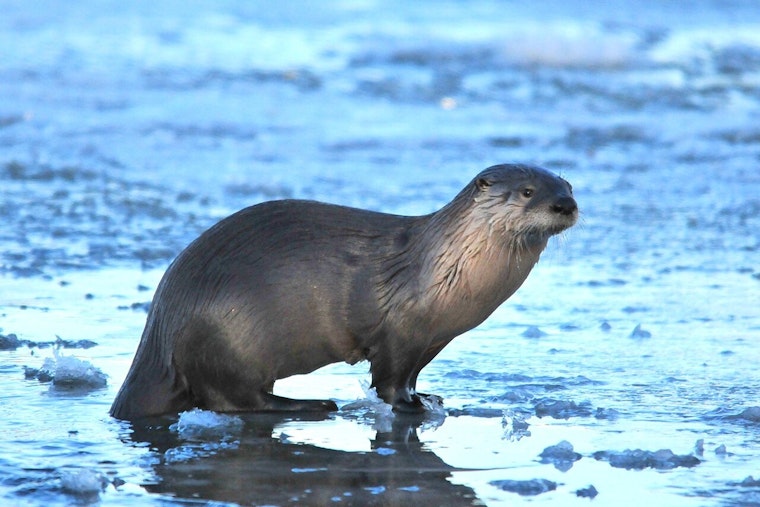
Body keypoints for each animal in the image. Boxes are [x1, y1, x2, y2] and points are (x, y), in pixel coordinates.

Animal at [110, 164, 577, 420]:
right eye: (528, 192)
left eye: (569, 186)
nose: (565, 205)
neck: (443, 268)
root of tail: (161, 328)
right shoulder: (399, 331)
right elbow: (388, 381)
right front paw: (409, 406)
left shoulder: (432, 339)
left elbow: (413, 375)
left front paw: (426, 395)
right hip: (226, 335)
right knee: (233, 399)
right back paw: (312, 404)